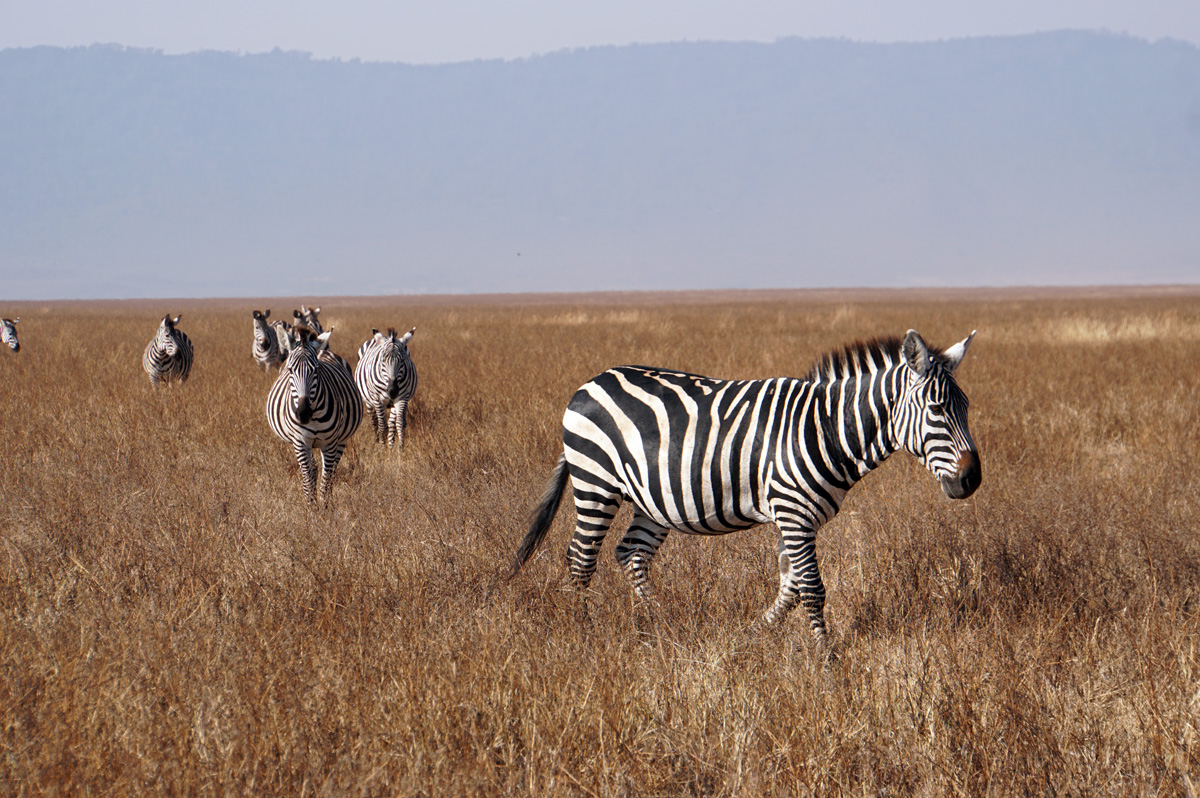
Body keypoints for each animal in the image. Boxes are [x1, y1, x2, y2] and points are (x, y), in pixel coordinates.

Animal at [266, 324, 363, 503]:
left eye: (316, 370)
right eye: (290, 370)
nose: (304, 413)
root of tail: (323, 350)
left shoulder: (330, 444)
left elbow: (326, 481)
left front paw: (325, 507)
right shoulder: (300, 442)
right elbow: (307, 479)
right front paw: (311, 506)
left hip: (341, 440)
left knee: (331, 472)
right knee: (312, 469)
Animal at [511, 330, 981, 649]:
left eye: (966, 407)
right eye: (937, 409)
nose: (972, 479)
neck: (827, 428)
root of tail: (592, 380)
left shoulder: (796, 518)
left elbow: (790, 587)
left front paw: (752, 635)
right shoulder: (793, 512)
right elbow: (812, 588)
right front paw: (828, 662)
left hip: (651, 498)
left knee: (631, 553)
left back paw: (659, 623)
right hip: (596, 482)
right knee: (580, 559)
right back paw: (582, 629)